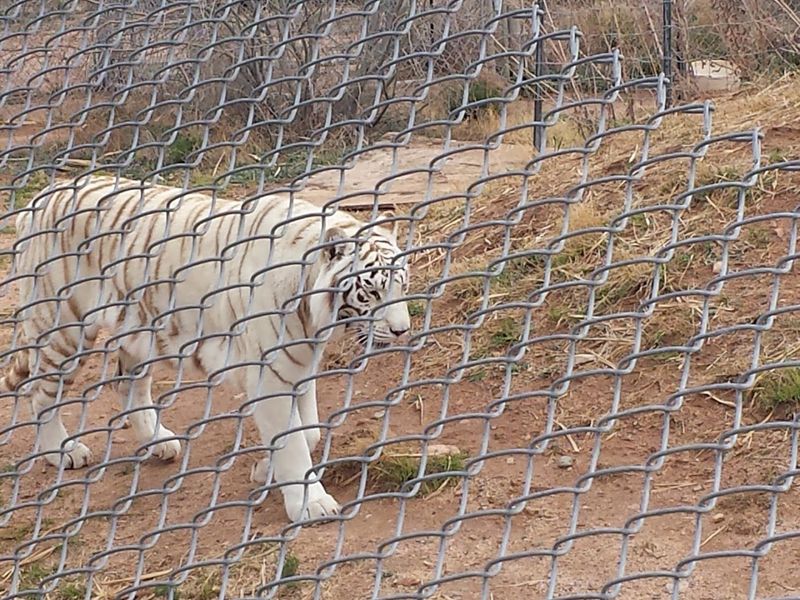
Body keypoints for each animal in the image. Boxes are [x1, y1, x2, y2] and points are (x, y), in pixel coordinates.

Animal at [2, 174, 411, 522]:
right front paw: (312, 504)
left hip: (136, 325)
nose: (402, 330)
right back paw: (64, 451)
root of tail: (42, 196)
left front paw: (265, 468)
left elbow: (307, 432)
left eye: (402, 285)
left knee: (127, 384)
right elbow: (293, 441)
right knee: (41, 393)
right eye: (373, 291)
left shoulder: (299, 365)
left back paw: (159, 443)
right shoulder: (270, 375)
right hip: (63, 327)